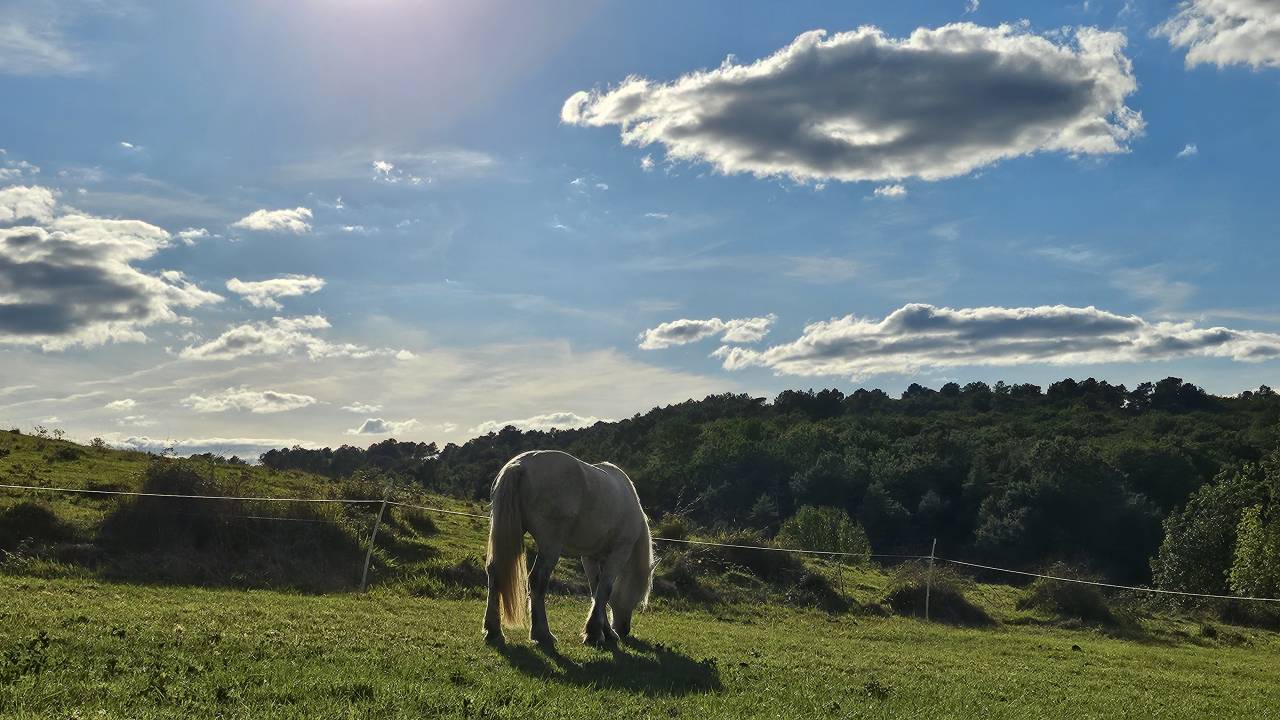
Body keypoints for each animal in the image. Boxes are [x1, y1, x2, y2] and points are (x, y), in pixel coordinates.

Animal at [482, 449, 655, 646]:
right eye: (637, 597)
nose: (624, 630)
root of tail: (519, 465)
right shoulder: (620, 552)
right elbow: (605, 589)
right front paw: (596, 633)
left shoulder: (590, 557)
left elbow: (597, 591)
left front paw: (603, 631)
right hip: (550, 546)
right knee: (537, 579)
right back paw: (542, 634)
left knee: (495, 572)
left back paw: (493, 631)